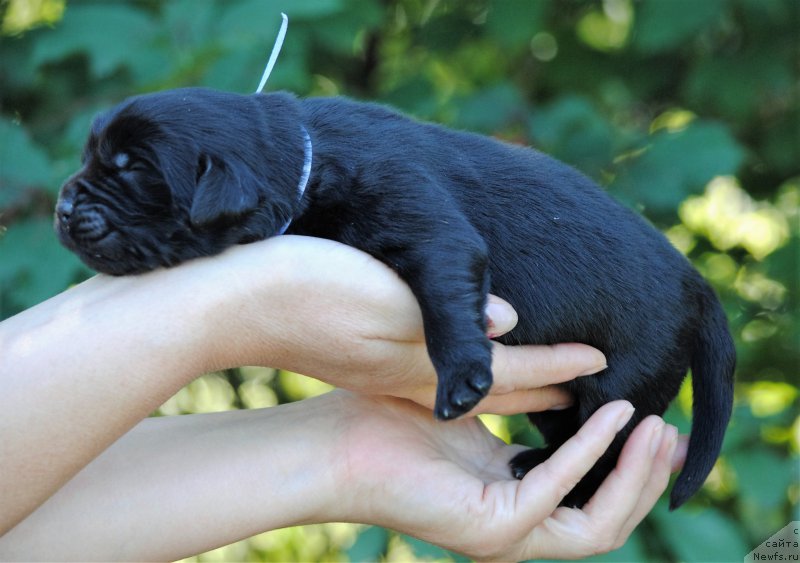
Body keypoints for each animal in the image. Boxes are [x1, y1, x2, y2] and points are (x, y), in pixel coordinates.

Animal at [53, 88, 736, 512]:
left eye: (131, 169)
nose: (61, 205)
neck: (304, 157)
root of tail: (699, 286)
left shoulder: (422, 218)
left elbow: (444, 289)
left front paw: (461, 377)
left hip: (621, 382)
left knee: (608, 440)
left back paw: (566, 486)